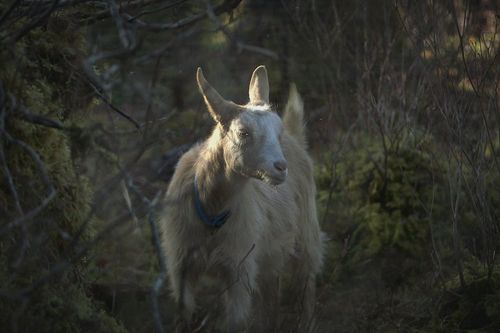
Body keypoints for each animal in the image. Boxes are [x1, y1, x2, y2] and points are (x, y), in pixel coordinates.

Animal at [160, 64, 324, 330]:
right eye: (243, 132)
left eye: (276, 132)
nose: (281, 167)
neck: (212, 210)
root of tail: (296, 139)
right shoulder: (180, 266)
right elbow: (184, 314)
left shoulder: (240, 270)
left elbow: (236, 322)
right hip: (271, 257)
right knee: (272, 296)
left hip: (308, 235)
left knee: (306, 287)